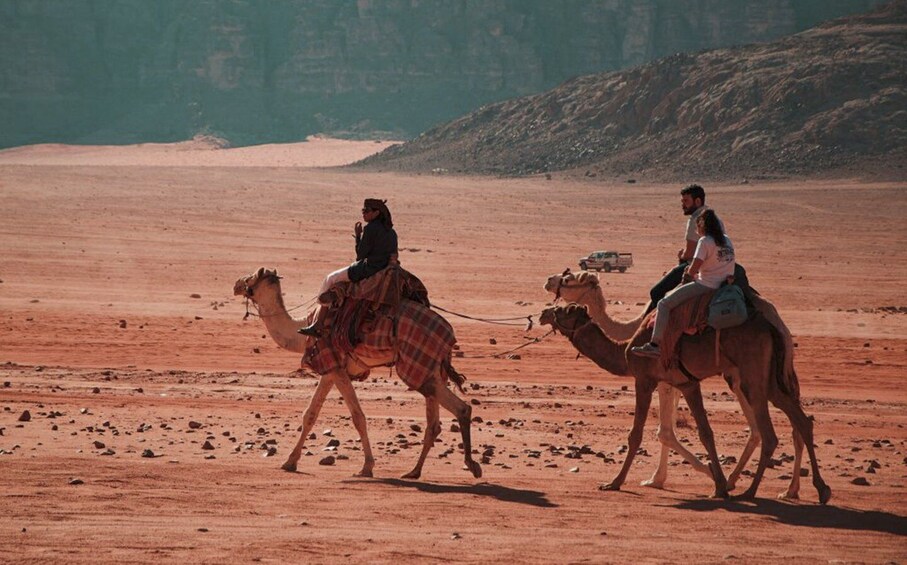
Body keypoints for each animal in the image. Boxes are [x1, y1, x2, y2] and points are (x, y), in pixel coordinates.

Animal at [232, 266, 482, 478]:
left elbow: (358, 417)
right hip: (431, 369)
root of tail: (449, 334)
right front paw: (290, 462)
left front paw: (367, 467)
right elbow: (310, 414)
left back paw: (472, 466)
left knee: (461, 408)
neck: (300, 330)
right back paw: (414, 471)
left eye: (251, 277)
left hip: (417, 367)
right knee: (434, 423)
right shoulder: (331, 369)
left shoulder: (334, 365)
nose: (236, 285)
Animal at [544, 268, 804, 498]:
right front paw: (667, 478)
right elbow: (683, 431)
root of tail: (776, 324)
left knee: (760, 429)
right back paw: (787, 489)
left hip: (743, 377)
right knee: (795, 420)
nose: (548, 282)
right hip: (772, 374)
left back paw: (743, 484)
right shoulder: (682, 383)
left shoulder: (655, 381)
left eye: (569, 279)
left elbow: (661, 432)